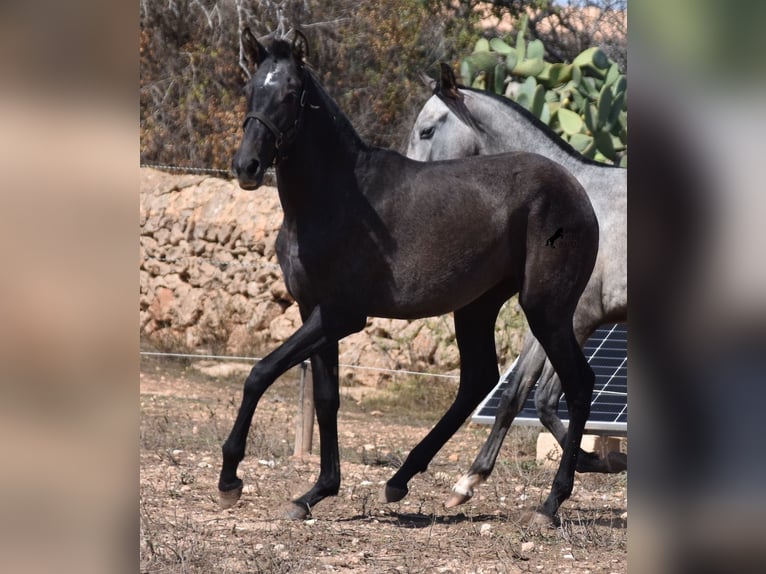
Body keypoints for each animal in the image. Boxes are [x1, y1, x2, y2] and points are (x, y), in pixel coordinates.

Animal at [225, 31, 604, 528]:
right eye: (250, 89)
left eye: (290, 94)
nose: (247, 167)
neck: (336, 198)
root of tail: (578, 193)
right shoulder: (316, 312)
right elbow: (326, 399)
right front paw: (314, 493)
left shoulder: (342, 315)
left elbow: (259, 373)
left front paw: (230, 478)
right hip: (478, 307)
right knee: (478, 379)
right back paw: (404, 481)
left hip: (547, 310)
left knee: (577, 383)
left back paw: (549, 504)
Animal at [408, 63, 632, 508]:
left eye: (426, 130)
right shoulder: (547, 319)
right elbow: (519, 393)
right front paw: (469, 481)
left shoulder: (575, 320)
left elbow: (550, 396)